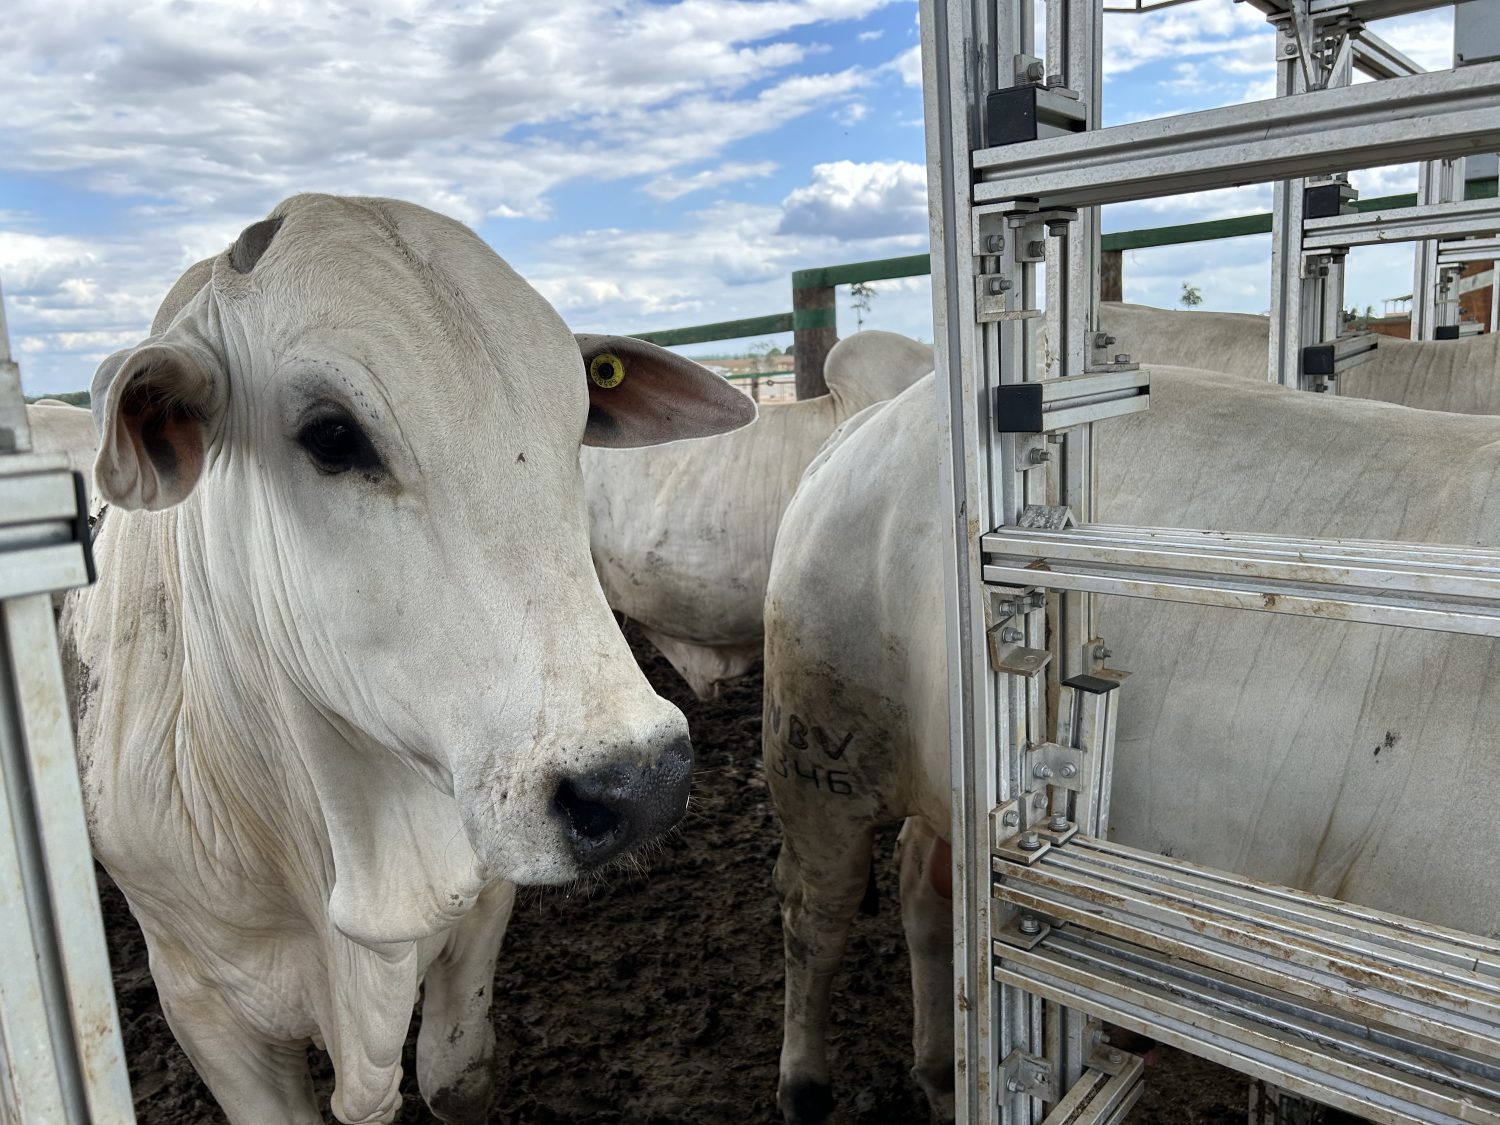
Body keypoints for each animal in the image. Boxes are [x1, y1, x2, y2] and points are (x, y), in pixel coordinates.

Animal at [63, 193, 756, 1125]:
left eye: (577, 414)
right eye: (331, 435)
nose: (640, 783)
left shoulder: (483, 903)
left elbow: (452, 1076)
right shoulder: (202, 1005)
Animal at [768, 366, 1500, 1122]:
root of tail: (874, 419)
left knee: (922, 880)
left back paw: (944, 1070)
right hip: (821, 748)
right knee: (815, 907)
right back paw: (804, 1085)